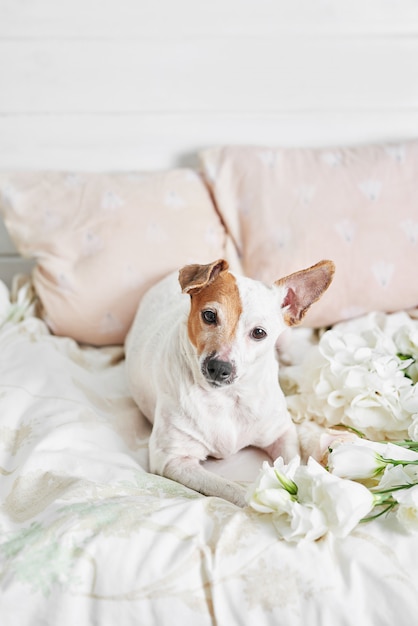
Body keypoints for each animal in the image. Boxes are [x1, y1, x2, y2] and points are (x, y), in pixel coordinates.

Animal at [125, 256, 334, 504]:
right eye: (209, 315)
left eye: (259, 333)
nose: (219, 368)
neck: (227, 397)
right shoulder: (172, 459)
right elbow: (232, 489)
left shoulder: (282, 434)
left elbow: (293, 465)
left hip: (286, 341)